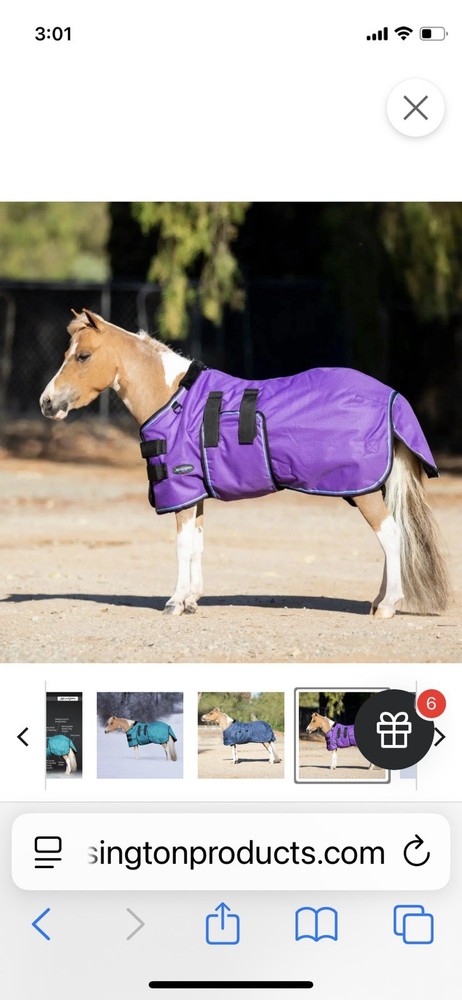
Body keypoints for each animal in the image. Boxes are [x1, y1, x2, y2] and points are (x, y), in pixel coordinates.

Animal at [39, 308, 450, 620]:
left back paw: (389, 606)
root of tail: (391, 396)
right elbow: (198, 545)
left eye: (82, 356)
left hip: (362, 490)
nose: (47, 402)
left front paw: (174, 602)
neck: (174, 399)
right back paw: (378, 601)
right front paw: (191, 600)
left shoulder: (180, 491)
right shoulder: (196, 494)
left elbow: (181, 546)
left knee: (391, 535)